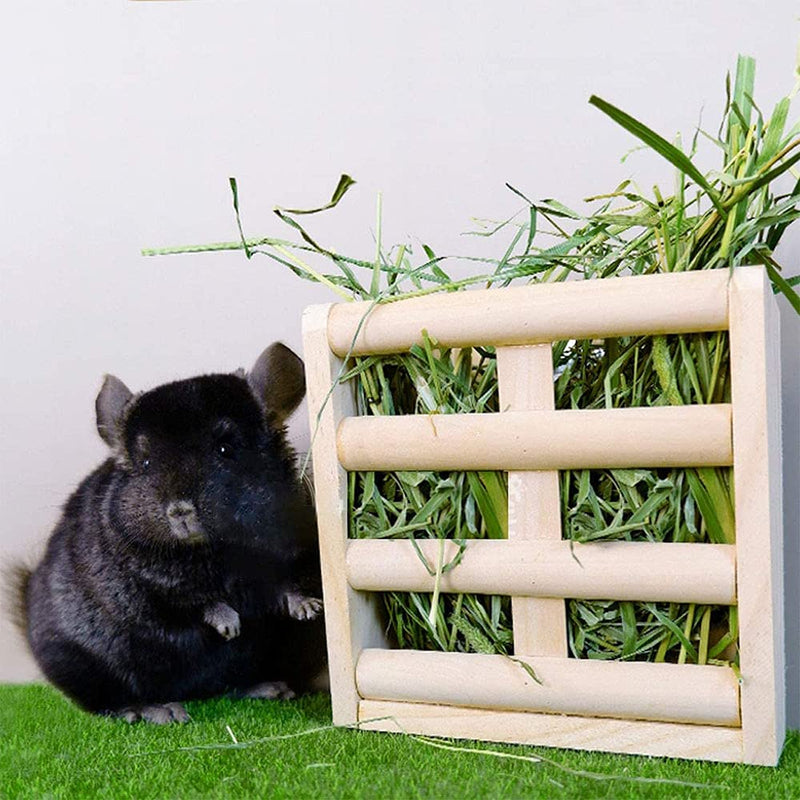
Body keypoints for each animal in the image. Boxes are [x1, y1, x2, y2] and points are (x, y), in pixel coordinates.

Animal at [13, 343, 326, 724]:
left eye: (226, 449)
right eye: (146, 463)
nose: (180, 512)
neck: (217, 553)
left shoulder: (293, 549)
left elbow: (284, 585)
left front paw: (307, 606)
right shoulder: (145, 590)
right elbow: (190, 602)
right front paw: (229, 624)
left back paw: (271, 688)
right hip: (82, 666)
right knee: (107, 703)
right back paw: (156, 711)